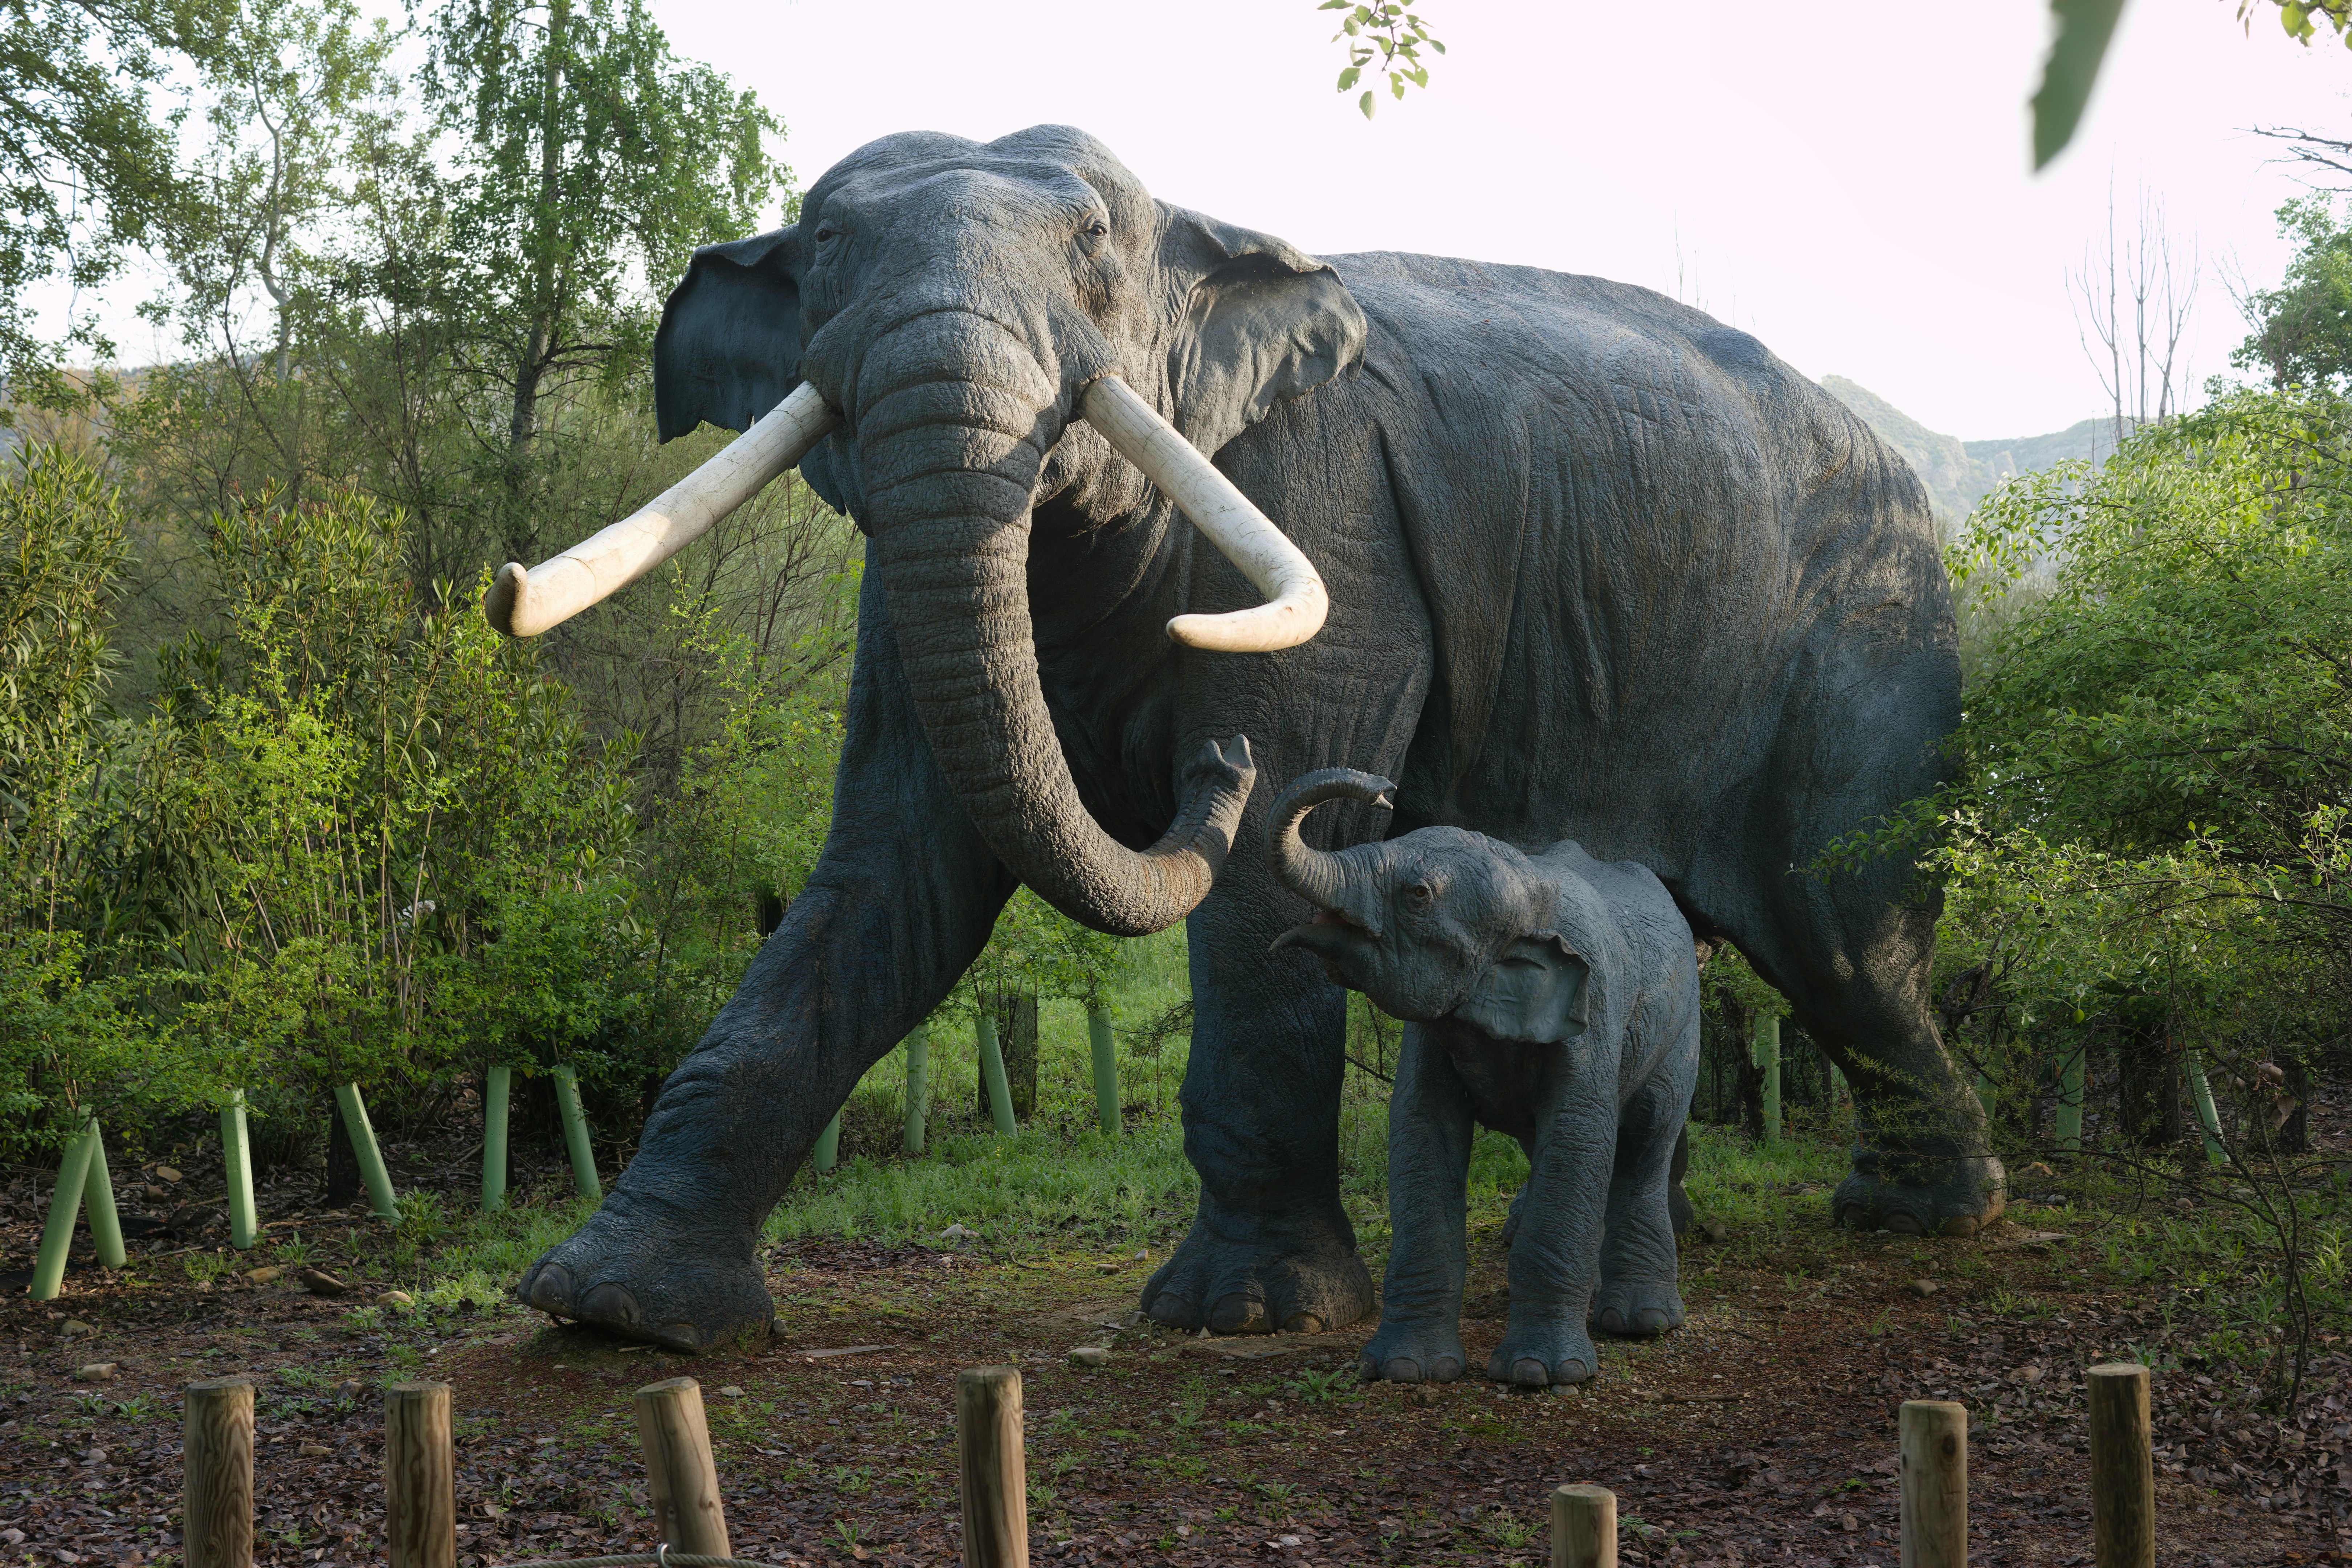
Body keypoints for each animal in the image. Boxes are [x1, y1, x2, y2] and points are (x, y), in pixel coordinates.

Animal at [1265, 767, 1700, 1386]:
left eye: (1418, 895)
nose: (1381, 788)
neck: (1528, 888)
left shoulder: (1595, 1007)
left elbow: (1579, 1133)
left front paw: (1542, 1376)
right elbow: (1421, 1131)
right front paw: (1405, 1370)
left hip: (1681, 1024)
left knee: (1646, 1138)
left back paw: (1642, 1324)